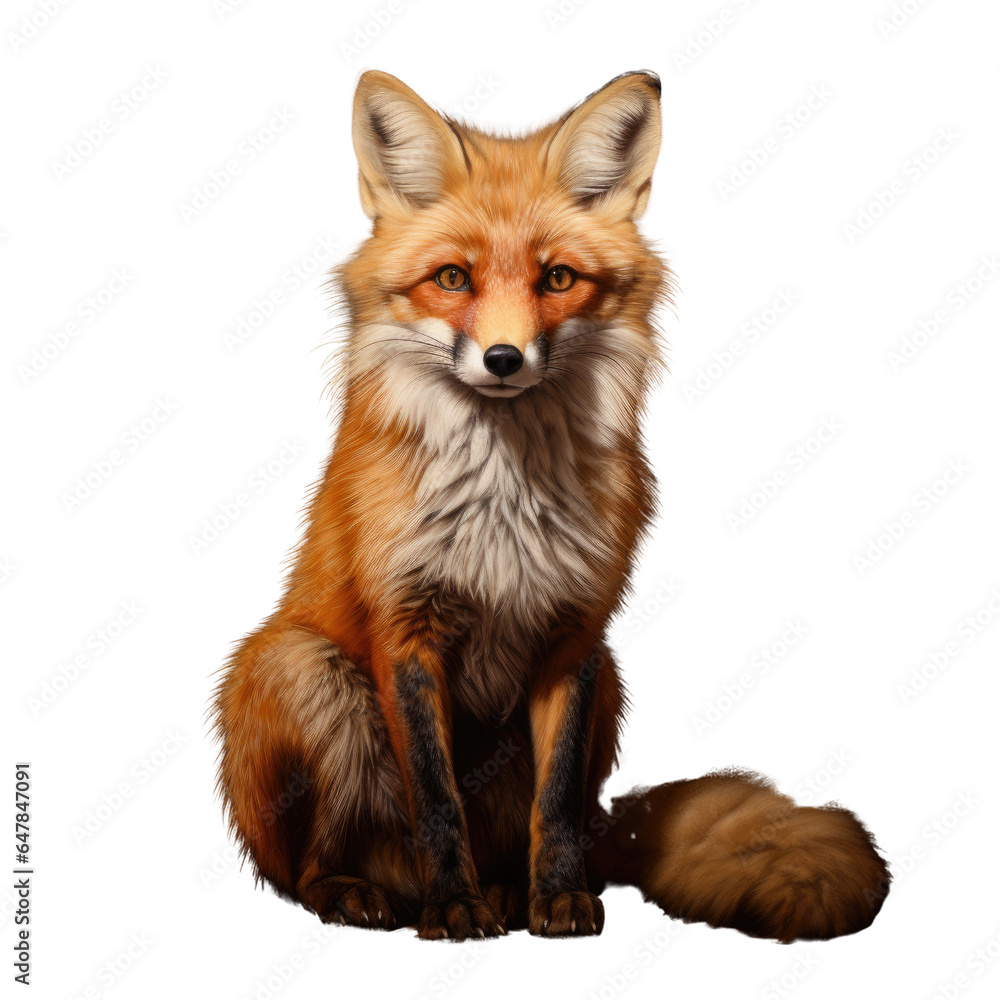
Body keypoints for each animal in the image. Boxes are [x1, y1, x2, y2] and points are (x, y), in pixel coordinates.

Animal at [213, 69, 890, 942]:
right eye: (453, 278)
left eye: (558, 278)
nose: (504, 358)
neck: (502, 502)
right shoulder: (405, 632)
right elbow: (436, 799)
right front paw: (454, 906)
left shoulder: (576, 636)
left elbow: (557, 799)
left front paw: (556, 899)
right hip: (303, 669)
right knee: (301, 866)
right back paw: (361, 893)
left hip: (612, 685)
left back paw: (507, 890)